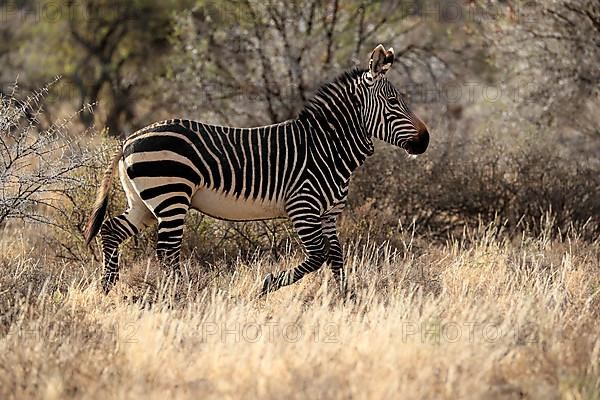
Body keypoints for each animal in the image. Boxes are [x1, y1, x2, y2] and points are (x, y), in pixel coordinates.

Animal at [84, 45, 428, 296]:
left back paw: (107, 288)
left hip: (144, 202)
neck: (326, 147)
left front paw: (347, 300)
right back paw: (184, 295)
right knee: (166, 252)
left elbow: (336, 257)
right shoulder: (302, 206)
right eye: (393, 102)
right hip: (170, 197)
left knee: (111, 231)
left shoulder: (329, 214)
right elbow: (317, 255)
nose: (425, 141)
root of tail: (128, 139)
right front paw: (266, 285)